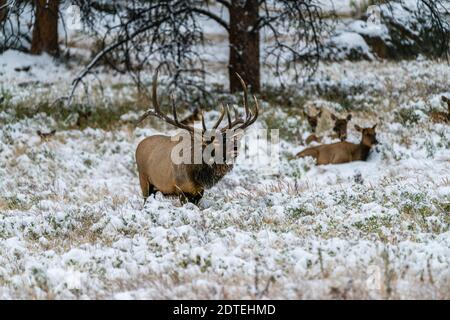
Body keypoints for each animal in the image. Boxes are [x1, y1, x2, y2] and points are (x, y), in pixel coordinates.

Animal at [135, 72, 258, 205]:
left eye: (231, 140)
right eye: (216, 144)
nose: (235, 149)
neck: (198, 177)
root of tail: (139, 145)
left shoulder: (199, 192)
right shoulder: (181, 189)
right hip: (143, 179)